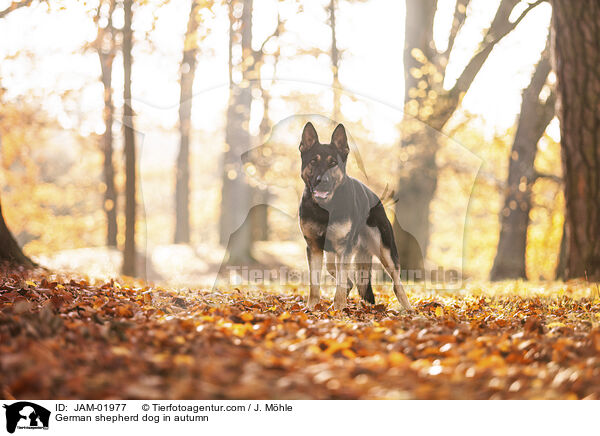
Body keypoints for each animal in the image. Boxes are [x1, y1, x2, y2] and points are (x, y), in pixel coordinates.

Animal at [298, 122, 412, 312]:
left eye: (333, 163)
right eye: (313, 161)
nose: (323, 181)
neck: (325, 208)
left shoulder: (344, 249)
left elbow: (340, 282)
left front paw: (338, 309)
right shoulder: (313, 248)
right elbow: (314, 283)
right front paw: (312, 307)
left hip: (386, 253)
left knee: (397, 283)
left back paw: (409, 309)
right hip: (332, 256)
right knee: (346, 280)